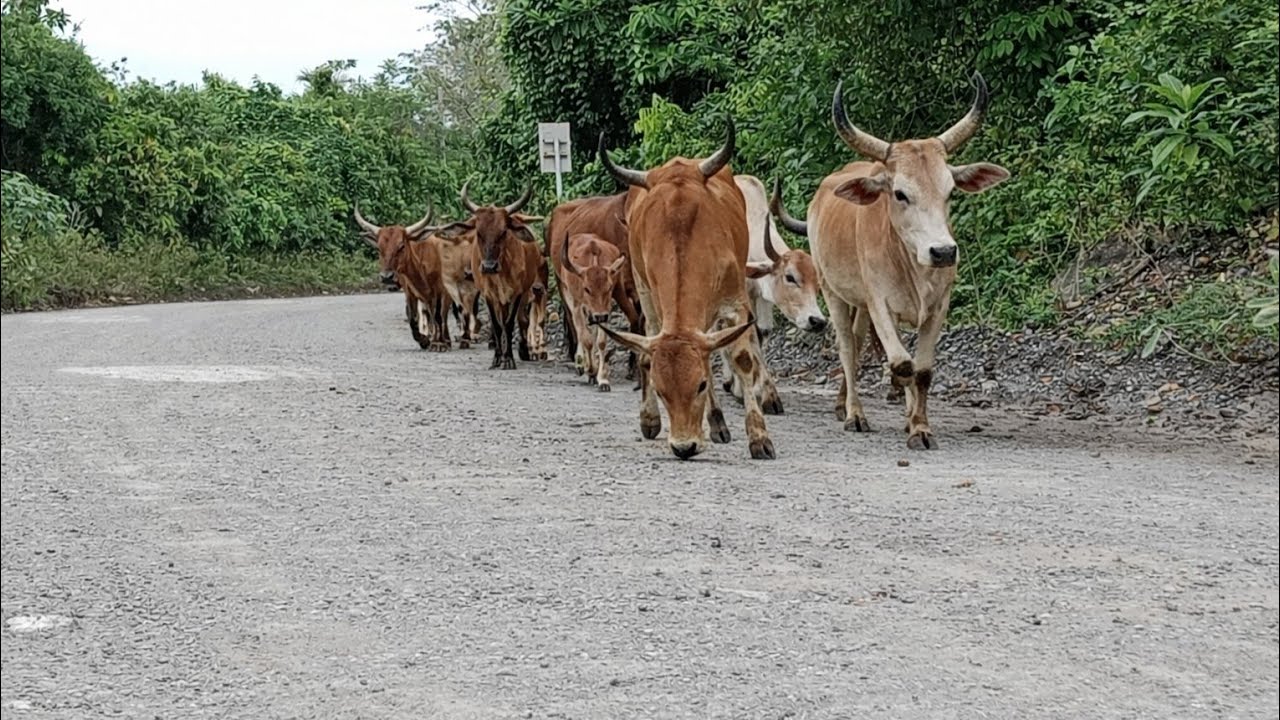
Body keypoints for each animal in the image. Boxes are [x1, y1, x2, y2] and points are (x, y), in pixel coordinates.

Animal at [353, 204, 451, 349]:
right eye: (379, 248)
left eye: (401, 246)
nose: (387, 277)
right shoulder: (410, 292)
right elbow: (412, 317)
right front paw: (423, 339)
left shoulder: (440, 290)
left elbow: (439, 315)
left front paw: (438, 342)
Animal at [432, 182, 544, 370]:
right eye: (479, 232)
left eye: (504, 232)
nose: (489, 266)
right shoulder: (488, 294)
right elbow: (497, 325)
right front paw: (498, 358)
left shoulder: (517, 293)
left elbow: (509, 323)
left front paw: (508, 359)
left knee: (522, 319)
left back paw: (523, 350)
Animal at [558, 232, 629, 390]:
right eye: (586, 288)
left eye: (609, 287)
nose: (600, 316)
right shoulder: (577, 307)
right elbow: (586, 339)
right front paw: (590, 370)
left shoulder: (606, 310)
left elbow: (601, 341)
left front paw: (602, 379)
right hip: (569, 298)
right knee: (578, 331)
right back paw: (580, 363)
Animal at [596, 119, 776, 461]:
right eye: (661, 391)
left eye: (701, 385)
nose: (684, 447)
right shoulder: (652, 301)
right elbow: (649, 355)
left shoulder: (735, 302)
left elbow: (742, 358)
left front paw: (759, 437)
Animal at [777, 71, 1009, 450]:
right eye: (900, 193)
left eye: (950, 192)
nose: (943, 251)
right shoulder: (879, 303)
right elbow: (902, 364)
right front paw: (900, 399)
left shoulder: (938, 306)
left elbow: (922, 370)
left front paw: (918, 425)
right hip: (835, 294)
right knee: (848, 348)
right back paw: (854, 413)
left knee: (861, 343)